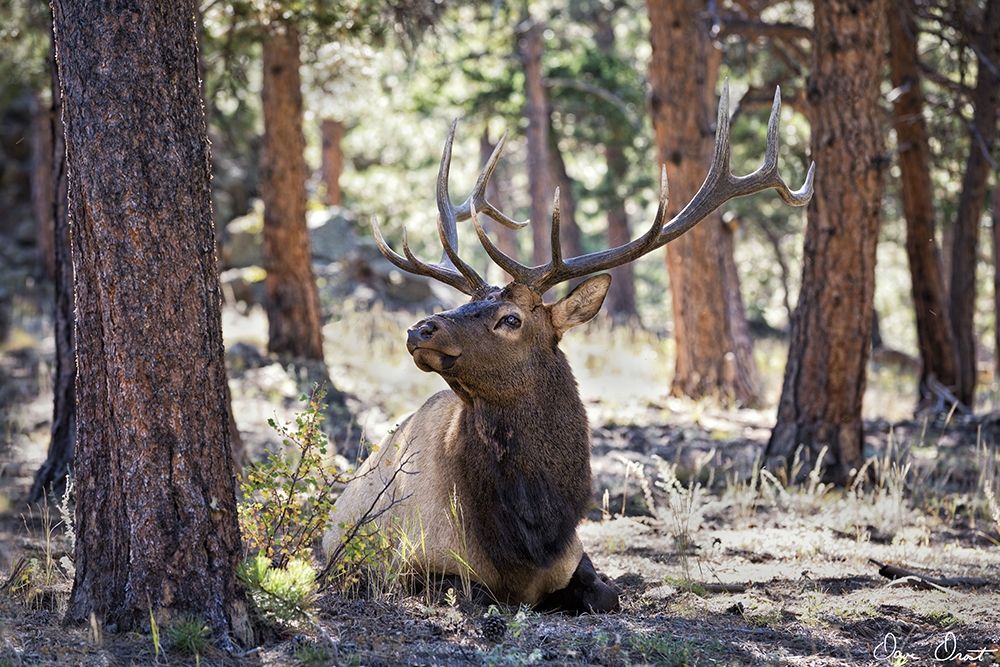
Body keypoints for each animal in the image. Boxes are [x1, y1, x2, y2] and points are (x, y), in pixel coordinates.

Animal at [323, 85, 814, 613]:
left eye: (510, 318)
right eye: (465, 304)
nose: (420, 331)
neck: (531, 535)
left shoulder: (577, 558)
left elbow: (609, 593)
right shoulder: (412, 562)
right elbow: (474, 590)